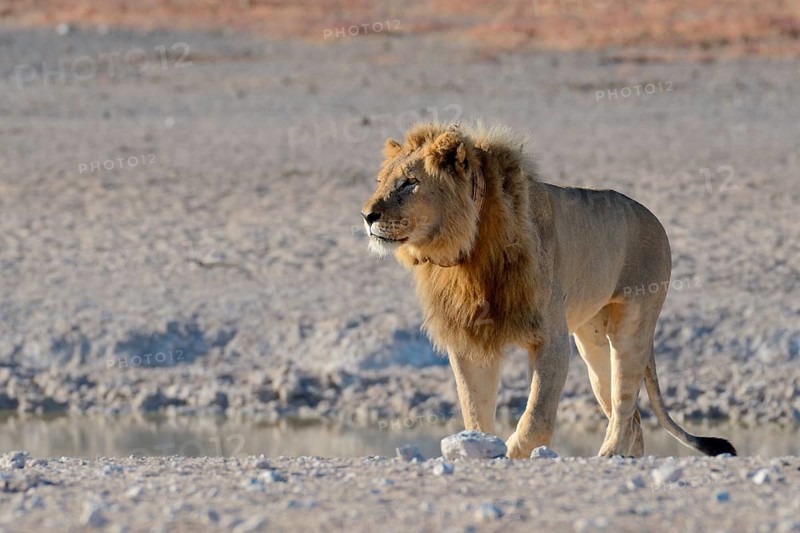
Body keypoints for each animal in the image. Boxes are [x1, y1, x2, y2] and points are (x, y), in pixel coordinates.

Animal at [361, 121, 736, 458]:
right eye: (380, 182)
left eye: (410, 183)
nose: (367, 215)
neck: (469, 251)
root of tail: (653, 218)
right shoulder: (469, 340)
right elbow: (475, 411)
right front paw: (480, 448)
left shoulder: (550, 337)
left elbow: (537, 417)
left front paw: (513, 453)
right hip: (592, 341)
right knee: (632, 416)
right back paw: (628, 459)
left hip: (633, 325)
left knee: (625, 403)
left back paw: (609, 455)